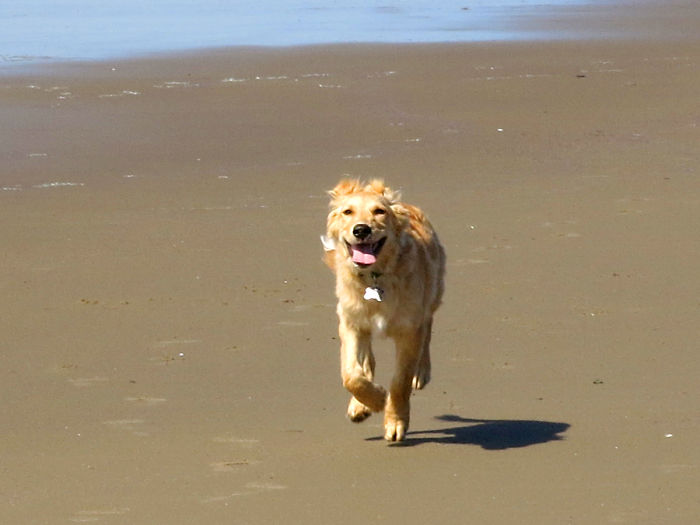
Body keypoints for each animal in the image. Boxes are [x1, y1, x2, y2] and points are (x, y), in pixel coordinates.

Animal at [322, 178, 446, 440]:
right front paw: (374, 400)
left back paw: (421, 372)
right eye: (347, 212)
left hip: (433, 292)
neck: (374, 277)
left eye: (379, 211)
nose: (361, 230)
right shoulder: (351, 323)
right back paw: (360, 405)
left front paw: (395, 420)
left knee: (428, 327)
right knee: (367, 360)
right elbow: (351, 375)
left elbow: (400, 381)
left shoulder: (409, 329)